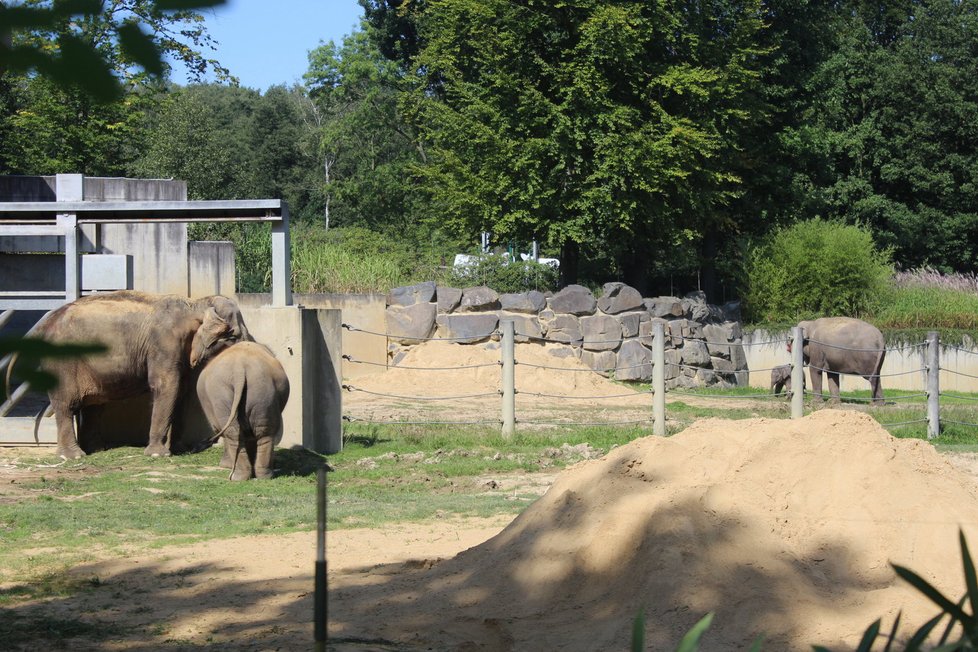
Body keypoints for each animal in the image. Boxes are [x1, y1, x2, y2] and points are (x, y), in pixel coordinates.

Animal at [35, 290, 252, 458]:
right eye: (233, 336)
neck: (194, 304)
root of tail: (45, 322)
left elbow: (181, 391)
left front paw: (180, 449)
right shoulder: (163, 343)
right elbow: (166, 386)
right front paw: (157, 454)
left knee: (94, 404)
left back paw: (97, 450)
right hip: (62, 361)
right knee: (66, 404)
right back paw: (72, 456)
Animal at [196, 342, 290, 478]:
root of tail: (239, 369)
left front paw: (226, 466)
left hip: (221, 394)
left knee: (233, 433)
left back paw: (237, 475)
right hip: (262, 391)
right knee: (263, 432)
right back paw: (263, 475)